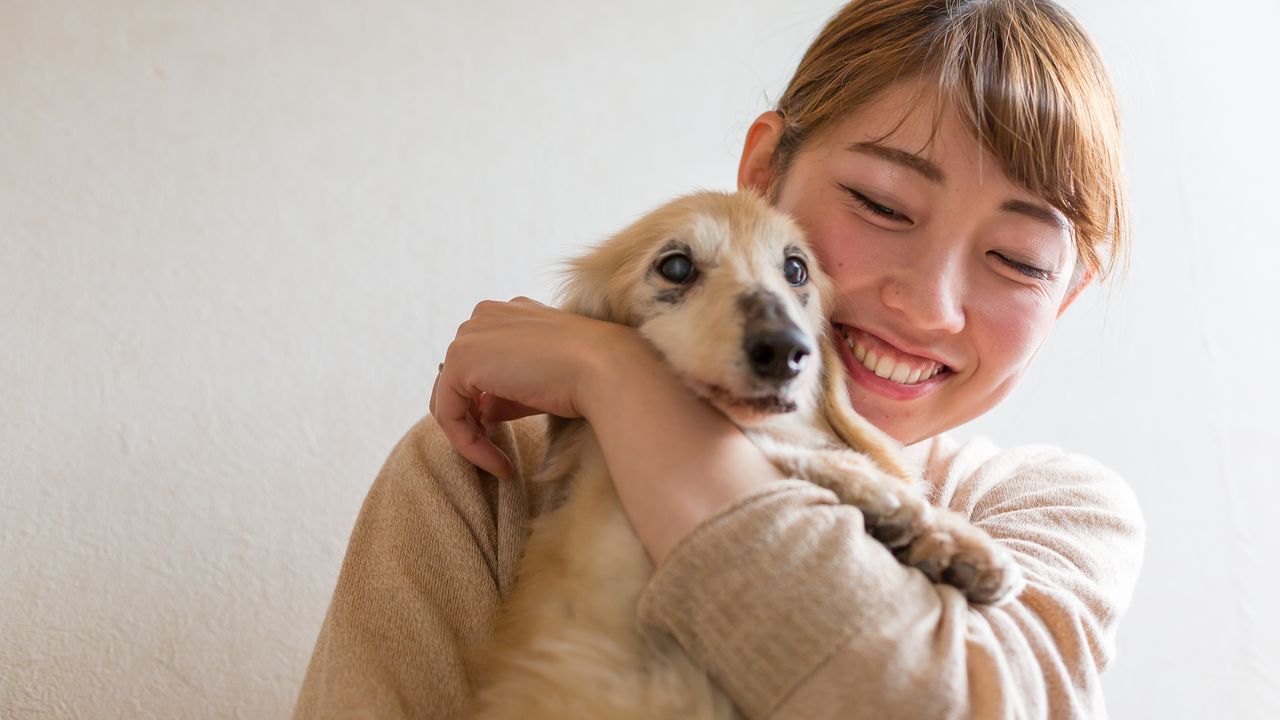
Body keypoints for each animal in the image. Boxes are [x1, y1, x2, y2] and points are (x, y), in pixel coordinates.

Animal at [467, 190, 1022, 719]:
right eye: (675, 266)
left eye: (796, 268)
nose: (784, 351)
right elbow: (779, 449)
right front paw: (887, 499)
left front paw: (948, 541)